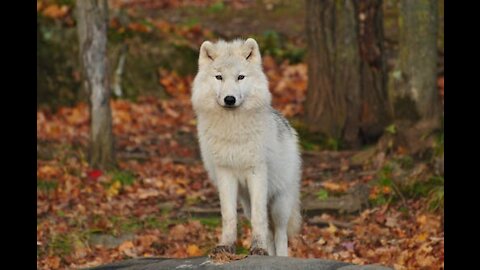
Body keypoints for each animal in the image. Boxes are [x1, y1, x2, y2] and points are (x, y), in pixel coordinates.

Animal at [190, 37, 300, 255]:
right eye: (219, 77)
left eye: (240, 77)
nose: (229, 99)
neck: (233, 130)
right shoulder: (225, 173)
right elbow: (229, 216)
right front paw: (226, 245)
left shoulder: (256, 172)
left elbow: (259, 219)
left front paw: (258, 248)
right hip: (246, 202)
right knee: (269, 232)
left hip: (279, 203)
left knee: (280, 234)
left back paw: (279, 256)